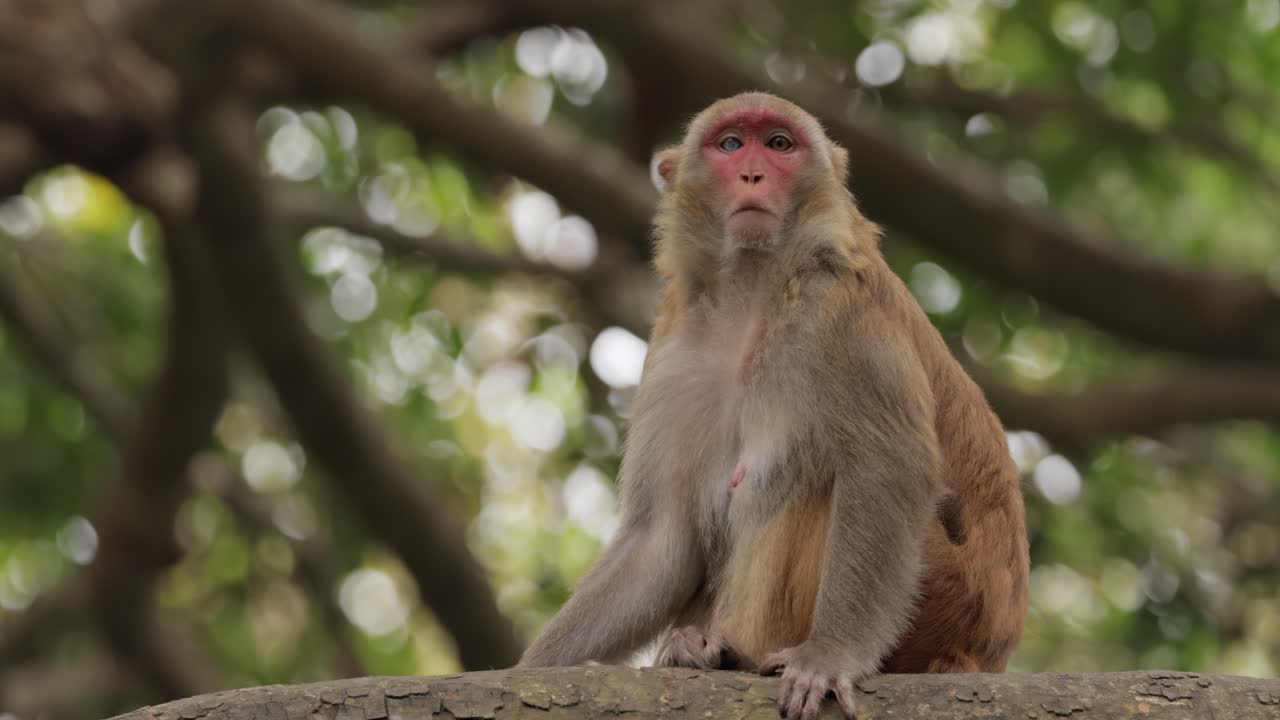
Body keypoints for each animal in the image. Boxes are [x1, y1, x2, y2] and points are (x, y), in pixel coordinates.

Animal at [517, 92, 1029, 720]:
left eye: (780, 145)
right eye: (731, 144)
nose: (753, 174)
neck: (756, 289)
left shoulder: (841, 310)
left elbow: (888, 469)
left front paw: (827, 656)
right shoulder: (676, 347)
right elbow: (663, 539)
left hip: (939, 599)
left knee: (795, 478)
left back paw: (736, 652)